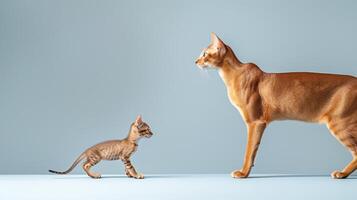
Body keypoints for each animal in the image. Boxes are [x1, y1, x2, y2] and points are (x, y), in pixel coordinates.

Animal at [195, 33, 356, 180]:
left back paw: (342, 173)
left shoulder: (255, 122)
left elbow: (249, 151)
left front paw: (243, 173)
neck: (234, 74)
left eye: (204, 54)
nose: (195, 61)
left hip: (340, 123)